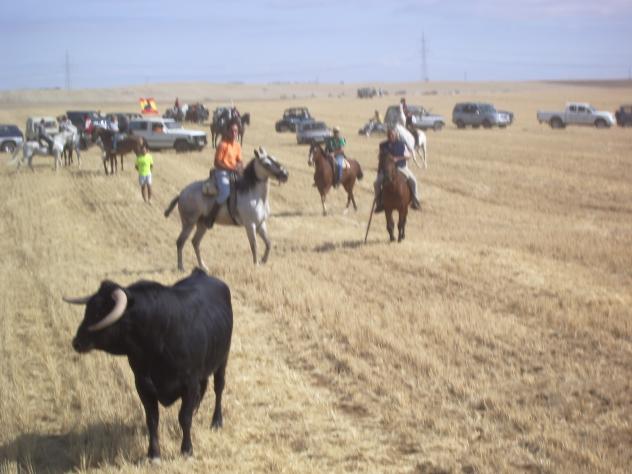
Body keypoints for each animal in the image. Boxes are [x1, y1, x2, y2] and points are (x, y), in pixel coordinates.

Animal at [64, 268, 233, 461]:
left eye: (99, 312)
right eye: (88, 309)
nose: (77, 342)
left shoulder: (189, 384)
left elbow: (184, 417)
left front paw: (187, 450)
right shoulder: (143, 385)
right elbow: (152, 419)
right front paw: (153, 454)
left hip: (222, 359)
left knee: (218, 387)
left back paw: (216, 421)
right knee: (203, 387)